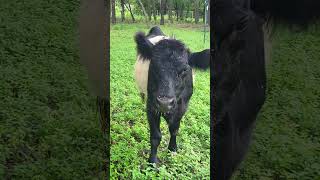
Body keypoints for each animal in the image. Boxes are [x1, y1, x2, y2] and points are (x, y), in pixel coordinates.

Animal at [134, 26, 210, 163]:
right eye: (153, 65)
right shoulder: (152, 106)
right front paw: (152, 161)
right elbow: (156, 136)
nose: (164, 103)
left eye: (185, 69)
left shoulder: (182, 106)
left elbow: (174, 129)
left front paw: (172, 149)